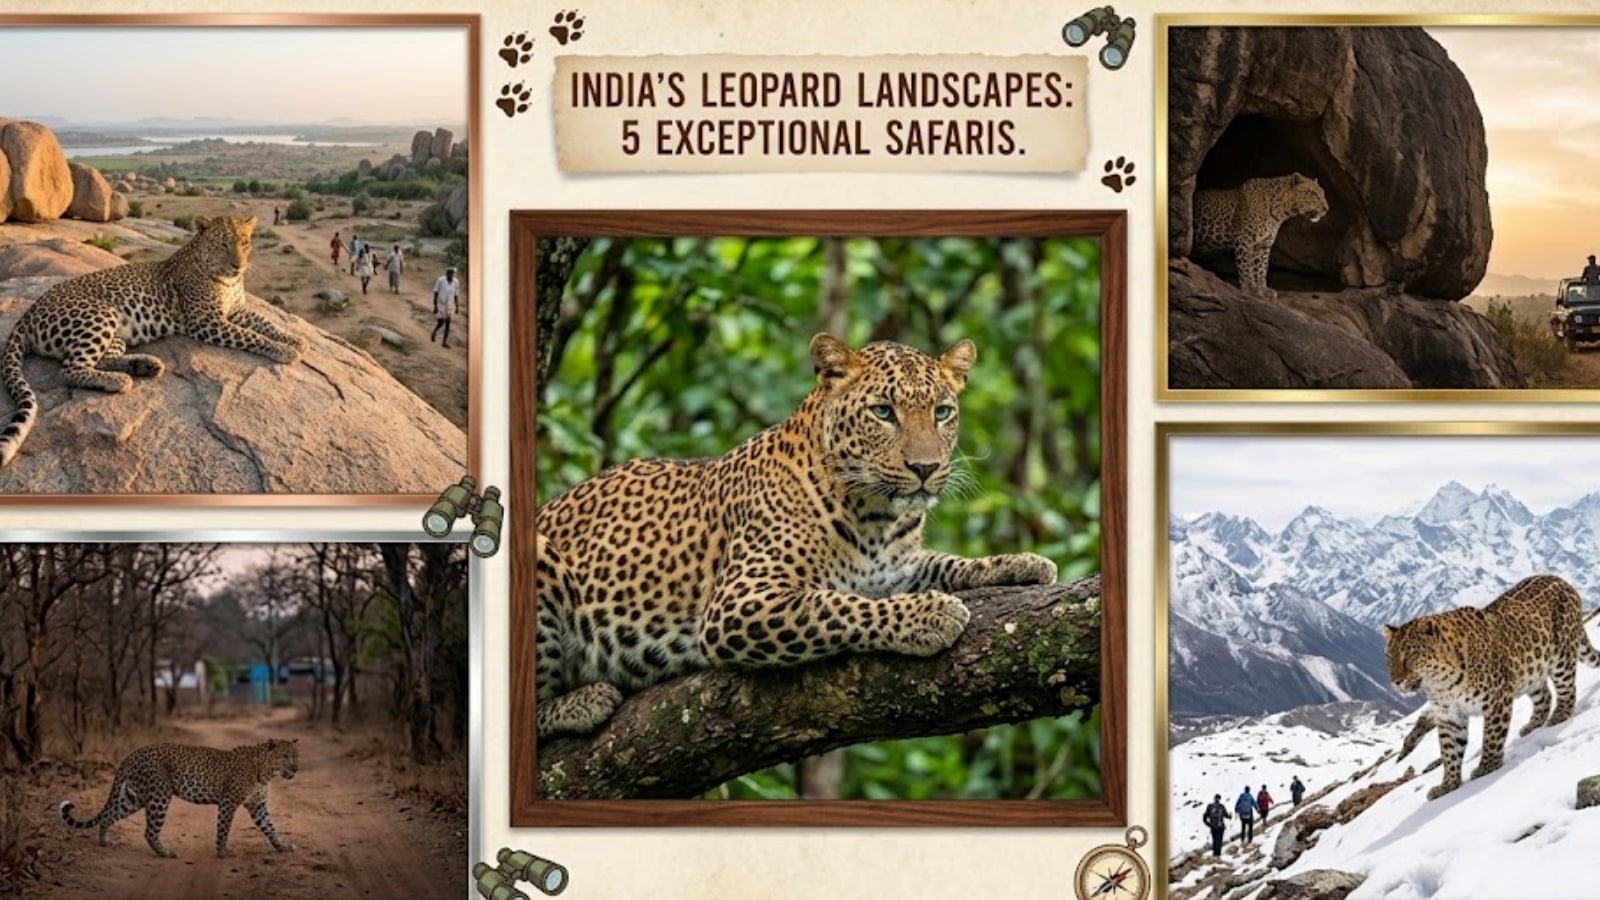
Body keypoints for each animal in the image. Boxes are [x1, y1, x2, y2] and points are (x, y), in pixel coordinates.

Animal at [0, 214, 305, 467]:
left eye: (245, 242)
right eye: (222, 244)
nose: (237, 266)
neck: (226, 281)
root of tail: (29, 312)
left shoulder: (236, 311)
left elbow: (265, 323)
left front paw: (295, 339)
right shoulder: (207, 322)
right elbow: (251, 335)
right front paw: (283, 350)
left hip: (115, 332)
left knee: (104, 358)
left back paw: (146, 366)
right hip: (100, 315)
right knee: (70, 369)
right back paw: (119, 381)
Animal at [60, 738, 299, 858]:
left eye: (296, 755)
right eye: (284, 756)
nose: (296, 768)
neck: (266, 773)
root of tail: (132, 754)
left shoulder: (258, 806)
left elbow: (270, 827)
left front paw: (282, 846)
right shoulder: (228, 802)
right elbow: (223, 829)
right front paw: (222, 852)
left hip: (133, 798)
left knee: (108, 815)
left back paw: (104, 841)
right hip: (159, 795)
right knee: (149, 831)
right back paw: (165, 852)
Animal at [535, 333, 1060, 739]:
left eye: (943, 412)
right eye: (883, 412)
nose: (925, 468)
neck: (877, 517)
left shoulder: (898, 568)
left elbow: (947, 563)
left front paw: (1022, 564)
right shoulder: (740, 602)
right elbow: (836, 606)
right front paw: (929, 615)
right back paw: (585, 702)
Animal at [1191, 172, 1329, 299]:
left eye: (1323, 194)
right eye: (1313, 193)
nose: (1326, 209)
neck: (1280, 211)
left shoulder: (1263, 243)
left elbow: (1261, 268)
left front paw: (1262, 289)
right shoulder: (1244, 239)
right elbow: (1246, 265)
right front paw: (1249, 288)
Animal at [1384, 574, 1600, 800]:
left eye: (1410, 656)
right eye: (1389, 658)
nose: (1396, 682)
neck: (1439, 682)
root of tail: (1562, 580)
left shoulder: (1496, 699)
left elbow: (1491, 737)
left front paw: (1487, 767)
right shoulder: (1449, 716)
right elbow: (1450, 751)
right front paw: (1448, 785)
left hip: (1561, 657)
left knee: (1567, 689)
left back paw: (1559, 717)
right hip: (1531, 672)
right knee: (1545, 696)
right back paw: (1533, 725)